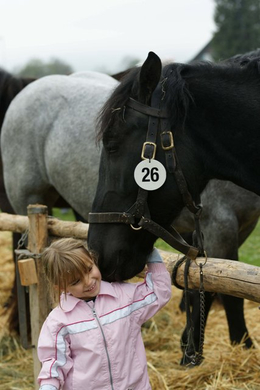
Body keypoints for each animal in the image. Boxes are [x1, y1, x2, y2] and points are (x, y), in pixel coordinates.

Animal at [0, 65, 258, 362]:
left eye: (111, 145)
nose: (100, 254)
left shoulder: (237, 229)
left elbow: (218, 285)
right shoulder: (219, 227)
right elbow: (225, 293)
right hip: (29, 200)